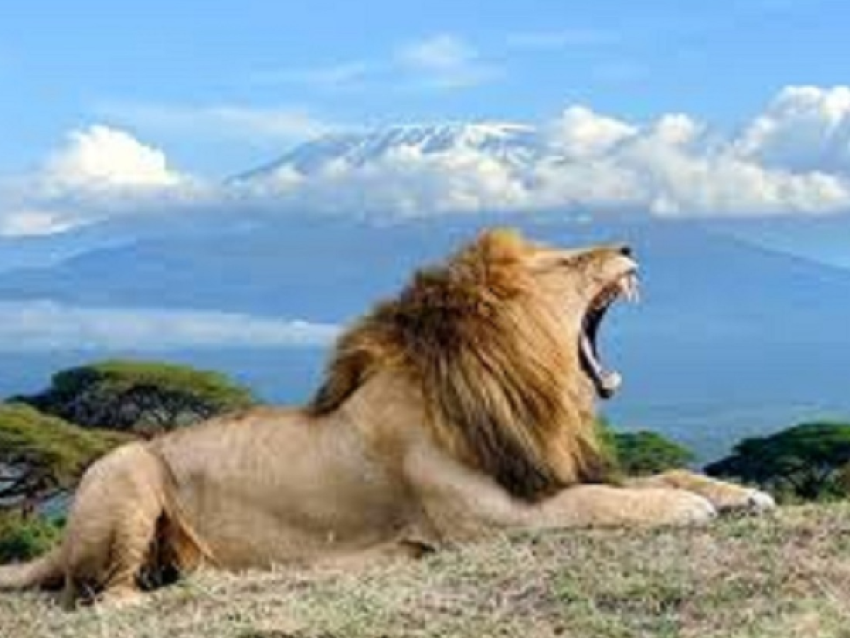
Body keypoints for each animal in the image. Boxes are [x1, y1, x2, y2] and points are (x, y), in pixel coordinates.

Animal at [0, 228, 772, 608]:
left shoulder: (536, 470)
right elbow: (604, 503)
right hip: (124, 469)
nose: (630, 247)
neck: (524, 387)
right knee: (103, 599)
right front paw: (685, 508)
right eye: (565, 261)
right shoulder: (490, 520)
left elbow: (661, 471)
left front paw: (740, 494)